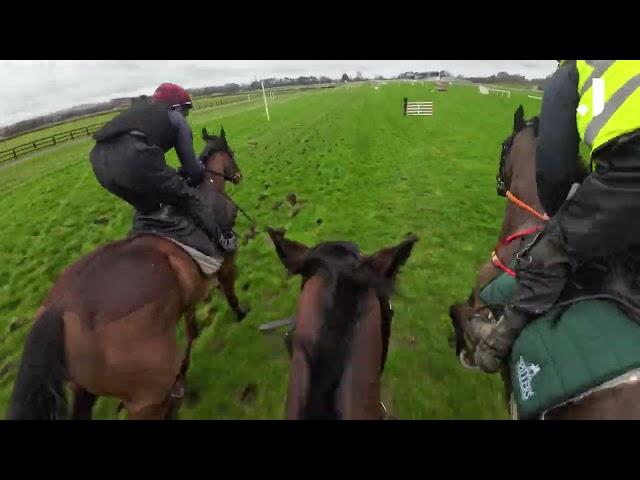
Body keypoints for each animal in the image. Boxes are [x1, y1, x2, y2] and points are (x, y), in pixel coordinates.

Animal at [8, 124, 248, 420]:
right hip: (146, 396)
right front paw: (241, 314)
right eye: (231, 153)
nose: (238, 175)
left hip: (83, 388)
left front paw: (187, 361)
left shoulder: (188, 295)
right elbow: (230, 292)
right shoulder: (226, 262)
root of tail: (58, 309)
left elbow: (191, 328)